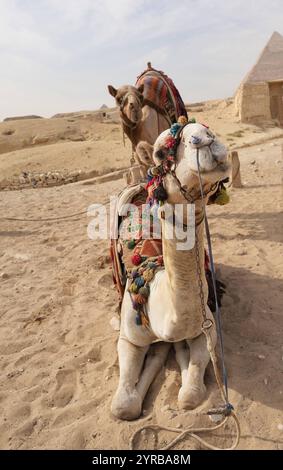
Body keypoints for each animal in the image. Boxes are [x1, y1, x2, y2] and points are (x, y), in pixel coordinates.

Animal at [111, 121, 231, 418]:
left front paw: (178, 354)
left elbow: (190, 395)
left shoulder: (206, 328)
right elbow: (123, 407)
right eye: (160, 153)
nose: (206, 139)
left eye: (207, 128)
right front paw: (158, 354)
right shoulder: (128, 336)